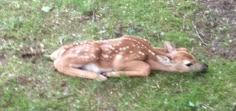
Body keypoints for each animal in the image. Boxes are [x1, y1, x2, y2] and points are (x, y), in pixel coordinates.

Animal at [50, 34, 207, 80]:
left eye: (192, 55)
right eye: (188, 64)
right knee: (59, 64)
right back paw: (100, 77)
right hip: (92, 51)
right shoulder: (122, 60)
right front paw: (110, 73)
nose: (206, 66)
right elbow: (146, 68)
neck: (148, 52)